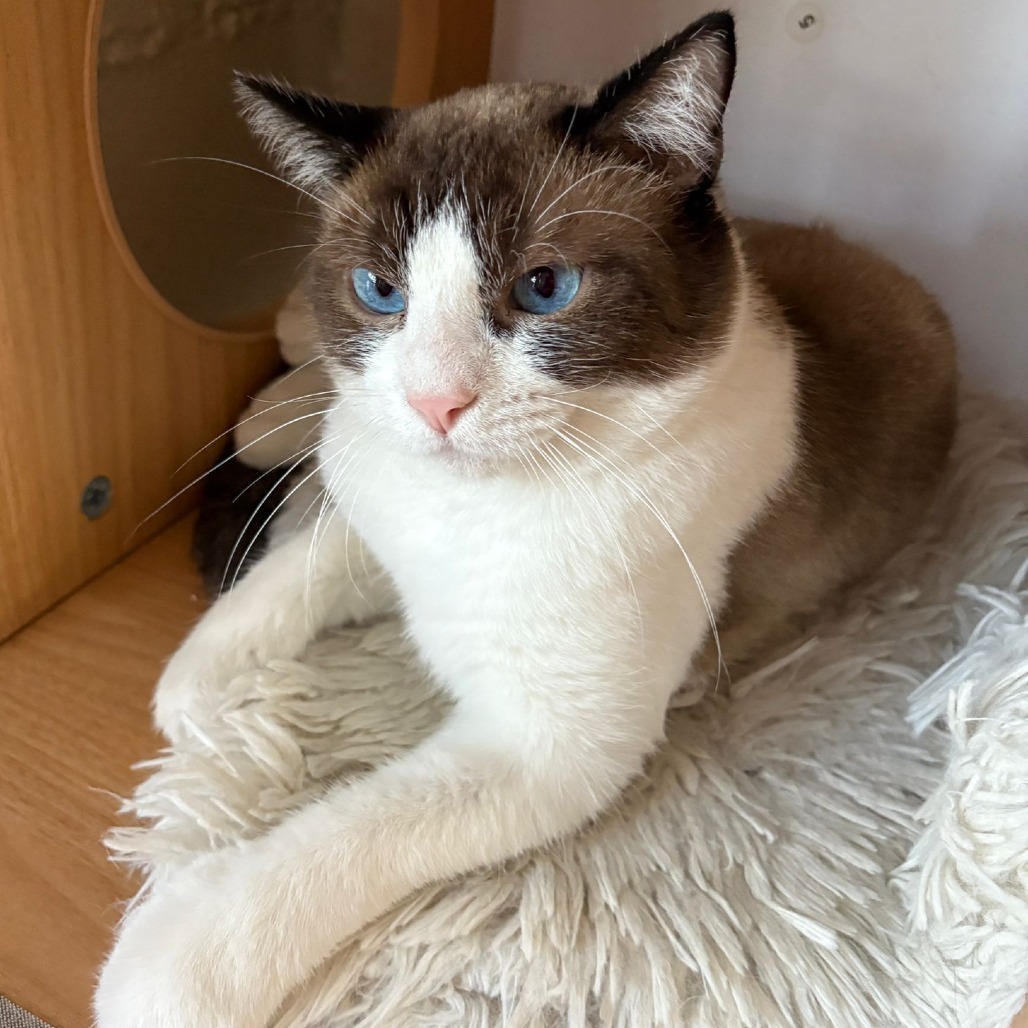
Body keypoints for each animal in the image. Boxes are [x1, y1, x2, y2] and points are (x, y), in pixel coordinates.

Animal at [94, 10, 953, 1028]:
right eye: (381, 292)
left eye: (545, 289)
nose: (434, 405)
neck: (471, 504)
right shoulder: (383, 507)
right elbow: (302, 564)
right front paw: (199, 681)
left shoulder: (542, 753)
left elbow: (342, 839)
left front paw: (167, 965)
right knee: (299, 373)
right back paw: (271, 411)